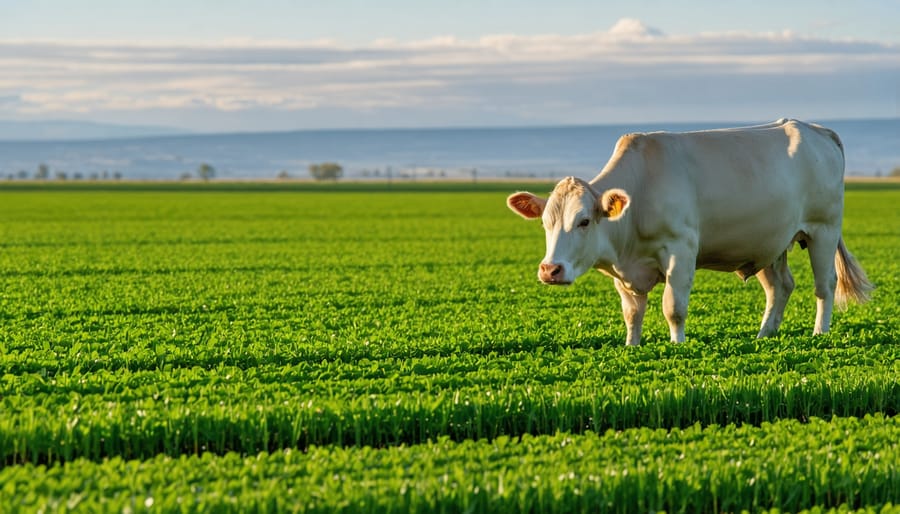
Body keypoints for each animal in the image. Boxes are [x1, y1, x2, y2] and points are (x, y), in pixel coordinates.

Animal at [507, 119, 873, 346]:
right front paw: (631, 347)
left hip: (823, 229)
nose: (550, 270)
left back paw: (818, 335)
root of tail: (815, 129)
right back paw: (763, 336)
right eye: (546, 223)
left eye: (584, 221)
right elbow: (631, 313)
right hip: (769, 241)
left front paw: (677, 345)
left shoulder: (680, 250)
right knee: (781, 287)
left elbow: (674, 307)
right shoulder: (623, 271)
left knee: (825, 285)